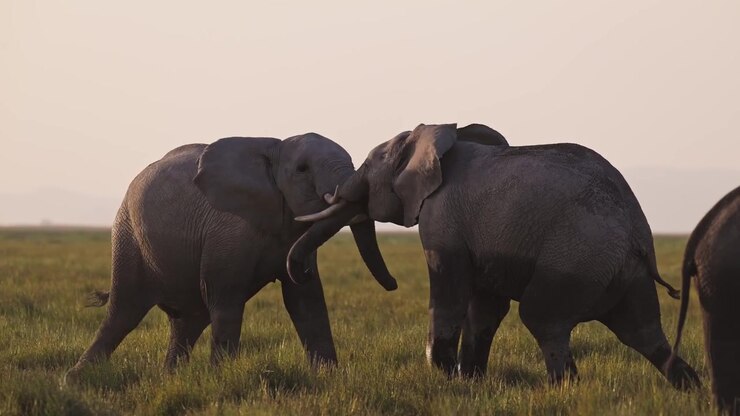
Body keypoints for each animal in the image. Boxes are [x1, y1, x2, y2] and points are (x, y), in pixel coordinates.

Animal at [66, 133, 397, 380]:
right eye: (302, 169)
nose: (393, 284)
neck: (274, 148)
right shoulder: (228, 230)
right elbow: (225, 298)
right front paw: (221, 378)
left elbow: (306, 301)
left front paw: (328, 379)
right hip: (127, 235)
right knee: (124, 311)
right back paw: (76, 379)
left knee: (187, 320)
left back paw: (168, 378)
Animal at [294, 123, 700, 388]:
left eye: (367, 165)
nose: (392, 284)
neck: (435, 135)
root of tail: (639, 233)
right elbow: (485, 306)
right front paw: (470, 381)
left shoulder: (442, 217)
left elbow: (450, 291)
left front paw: (443, 374)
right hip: (622, 269)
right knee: (642, 331)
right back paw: (690, 389)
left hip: (579, 256)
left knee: (543, 318)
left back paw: (563, 388)